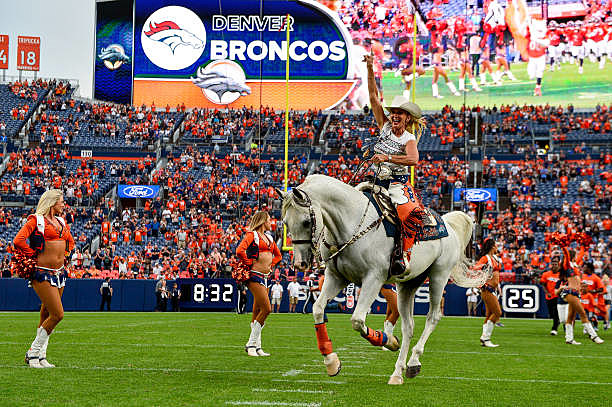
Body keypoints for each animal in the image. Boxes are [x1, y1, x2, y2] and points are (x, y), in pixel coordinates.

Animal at [278, 175, 488, 386]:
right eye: (285, 221)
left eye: (306, 222)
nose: (300, 263)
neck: (352, 224)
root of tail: (448, 225)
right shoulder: (336, 277)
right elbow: (318, 309)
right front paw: (331, 362)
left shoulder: (373, 278)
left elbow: (357, 320)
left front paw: (389, 341)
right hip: (407, 285)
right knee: (408, 327)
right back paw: (397, 372)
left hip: (439, 276)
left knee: (433, 317)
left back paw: (413, 362)